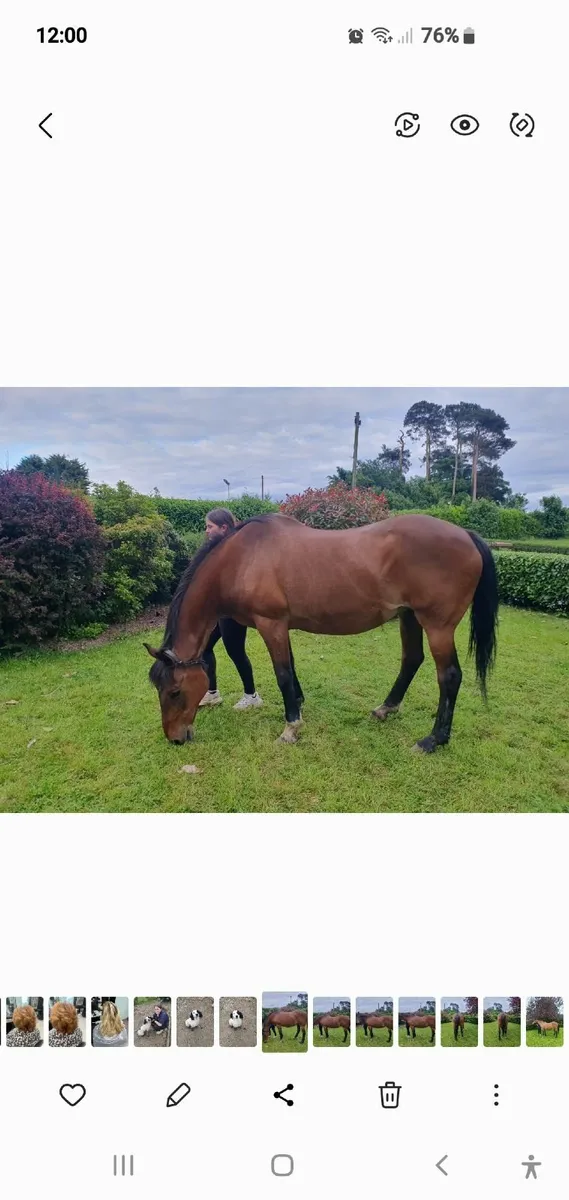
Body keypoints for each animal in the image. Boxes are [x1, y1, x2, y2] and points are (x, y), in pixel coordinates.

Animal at [145, 513, 498, 753]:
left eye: (174, 692)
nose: (175, 738)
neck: (243, 558)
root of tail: (467, 535)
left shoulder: (271, 624)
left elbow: (282, 674)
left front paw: (291, 728)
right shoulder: (283, 626)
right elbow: (291, 669)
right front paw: (299, 705)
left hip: (438, 626)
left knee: (449, 676)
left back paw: (434, 739)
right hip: (409, 617)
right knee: (411, 660)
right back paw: (385, 709)